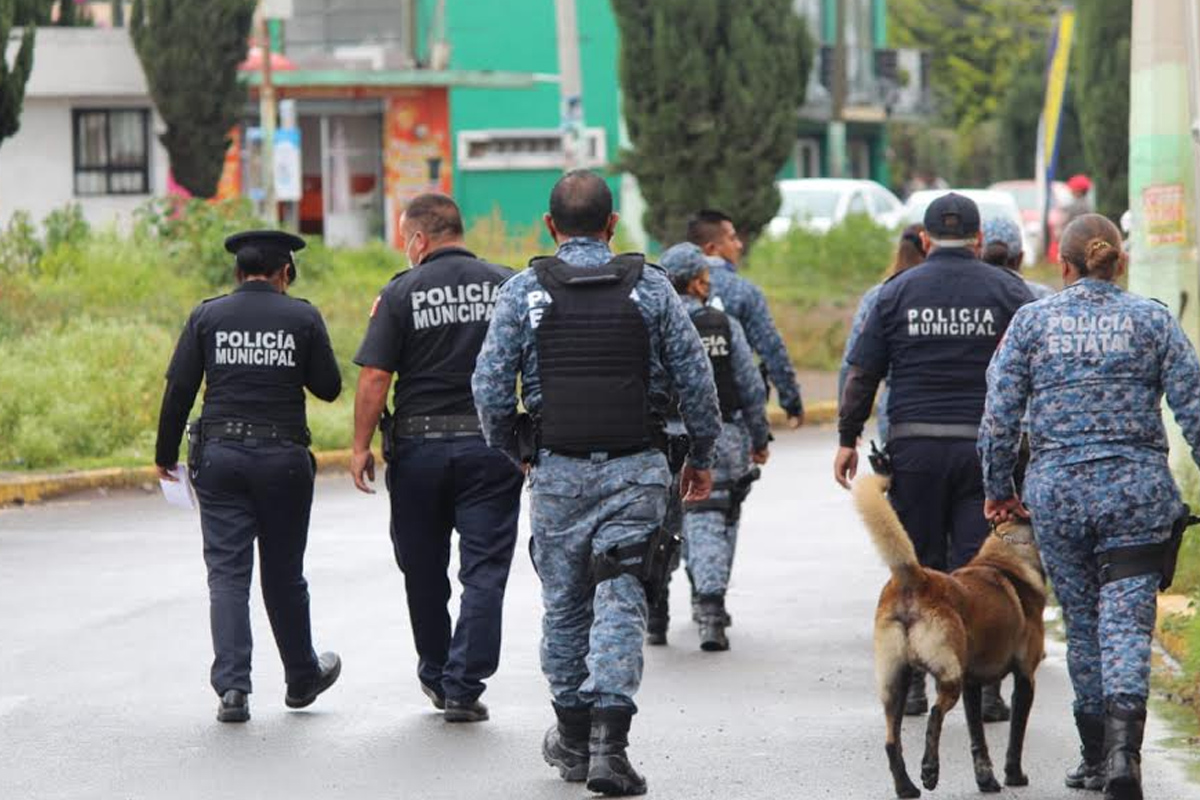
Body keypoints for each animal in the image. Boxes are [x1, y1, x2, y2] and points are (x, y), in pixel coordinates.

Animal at [854, 474, 1041, 796]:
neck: (1007, 557)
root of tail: (914, 577)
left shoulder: (972, 684)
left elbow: (977, 737)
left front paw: (986, 780)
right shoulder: (1025, 677)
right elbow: (1015, 737)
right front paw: (1014, 776)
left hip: (895, 680)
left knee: (892, 740)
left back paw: (907, 787)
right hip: (948, 674)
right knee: (934, 715)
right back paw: (929, 771)